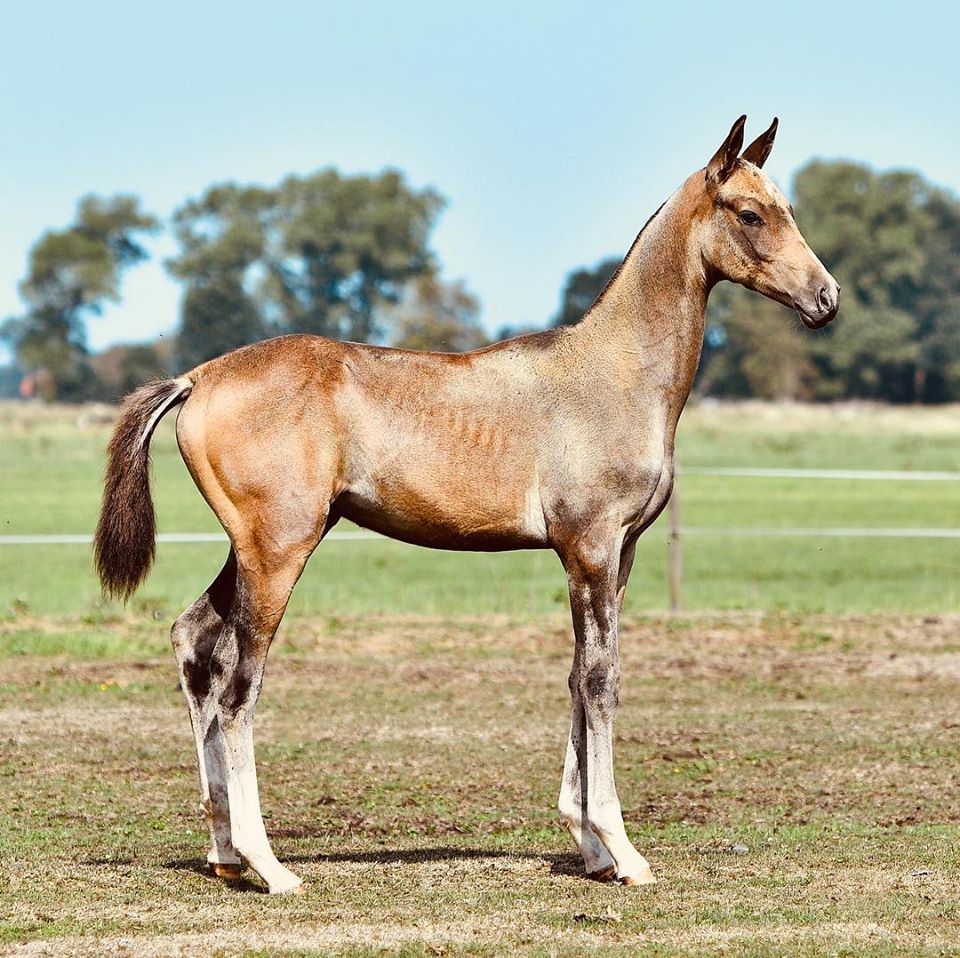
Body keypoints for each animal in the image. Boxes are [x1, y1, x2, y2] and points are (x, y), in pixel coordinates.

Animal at [94, 116, 836, 896]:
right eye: (750, 214)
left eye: (787, 207)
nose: (827, 299)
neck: (613, 374)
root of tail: (198, 377)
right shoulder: (592, 549)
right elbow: (601, 681)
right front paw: (622, 850)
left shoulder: (616, 557)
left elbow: (577, 678)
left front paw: (590, 848)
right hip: (277, 554)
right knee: (239, 688)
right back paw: (269, 864)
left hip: (255, 550)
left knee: (194, 642)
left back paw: (224, 853)